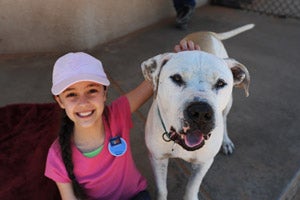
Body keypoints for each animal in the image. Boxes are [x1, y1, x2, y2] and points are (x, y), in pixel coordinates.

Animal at [141, 24, 253, 199]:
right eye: (177, 78)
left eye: (221, 83)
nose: (200, 112)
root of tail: (207, 32)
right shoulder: (157, 159)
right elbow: (162, 189)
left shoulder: (204, 163)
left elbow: (192, 188)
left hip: (228, 104)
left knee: (224, 119)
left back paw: (226, 142)